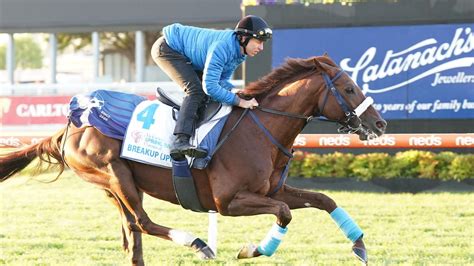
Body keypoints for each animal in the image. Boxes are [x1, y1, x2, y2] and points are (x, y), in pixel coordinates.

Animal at [0, 55, 386, 264]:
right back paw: (198, 244)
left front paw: (360, 246)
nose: (379, 124)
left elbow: (323, 199)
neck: (260, 129)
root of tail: (72, 122)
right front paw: (253, 250)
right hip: (113, 173)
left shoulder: (273, 190)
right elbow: (284, 213)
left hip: (114, 186)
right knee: (141, 222)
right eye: (350, 89)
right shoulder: (228, 201)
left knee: (131, 229)